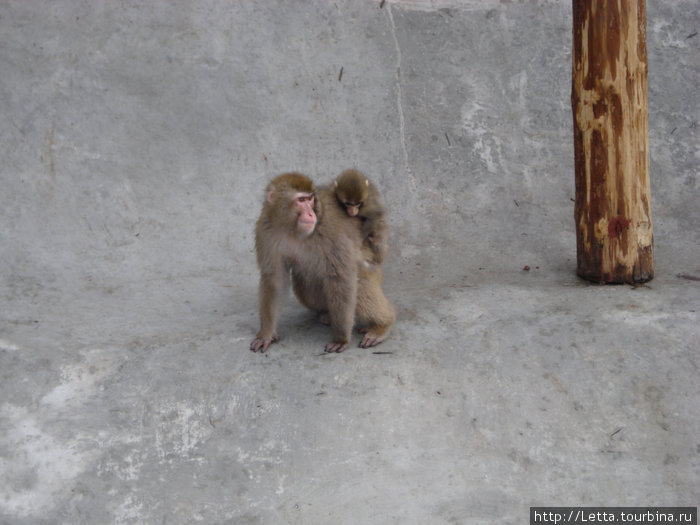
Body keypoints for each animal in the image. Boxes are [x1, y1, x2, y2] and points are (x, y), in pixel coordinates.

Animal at [250, 172, 394, 352]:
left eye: (310, 199)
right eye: (301, 200)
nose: (311, 214)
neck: (292, 228)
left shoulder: (330, 233)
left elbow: (341, 277)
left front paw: (341, 339)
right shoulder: (265, 230)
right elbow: (275, 279)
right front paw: (266, 333)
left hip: (371, 262)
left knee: (359, 283)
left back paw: (383, 324)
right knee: (304, 283)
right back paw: (325, 313)